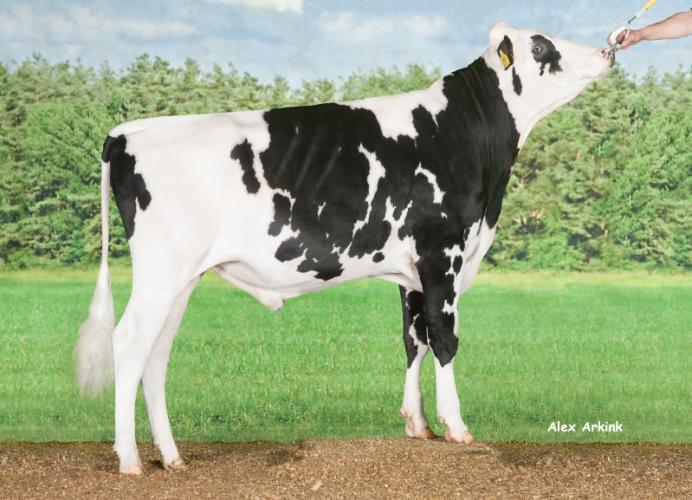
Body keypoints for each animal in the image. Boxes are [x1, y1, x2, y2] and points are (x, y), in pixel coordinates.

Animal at [75, 22, 614, 474]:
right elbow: (444, 338)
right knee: (129, 343)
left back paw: (172, 457)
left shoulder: (411, 273)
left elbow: (414, 339)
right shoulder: (442, 254)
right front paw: (457, 427)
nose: (608, 50)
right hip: (161, 270)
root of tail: (129, 131)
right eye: (541, 46)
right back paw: (130, 461)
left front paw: (418, 424)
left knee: (157, 353)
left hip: (181, 278)